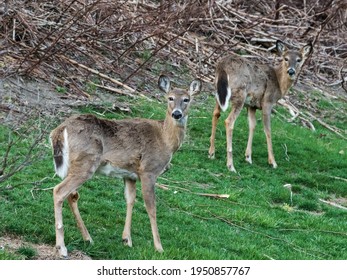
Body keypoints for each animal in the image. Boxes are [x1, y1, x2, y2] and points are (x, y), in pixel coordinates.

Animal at [49, 75, 201, 258]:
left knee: (72, 195)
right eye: (170, 98)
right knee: (59, 191)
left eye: (187, 99)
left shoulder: (130, 174)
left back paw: (88, 238)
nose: (177, 114)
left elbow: (130, 200)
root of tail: (60, 130)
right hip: (86, 163)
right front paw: (159, 247)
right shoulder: (149, 170)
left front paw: (126, 239)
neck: (165, 140)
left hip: (74, 165)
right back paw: (62, 247)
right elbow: (151, 207)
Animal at [208, 39, 314, 173]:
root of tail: (222, 66)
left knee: (216, 114)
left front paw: (248, 157)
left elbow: (252, 125)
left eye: (299, 60)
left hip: (218, 92)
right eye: (286, 58)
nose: (291, 71)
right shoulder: (267, 102)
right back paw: (231, 165)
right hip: (240, 94)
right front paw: (273, 162)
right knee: (229, 121)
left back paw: (211, 153)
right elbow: (268, 130)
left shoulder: (251, 105)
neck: (279, 83)